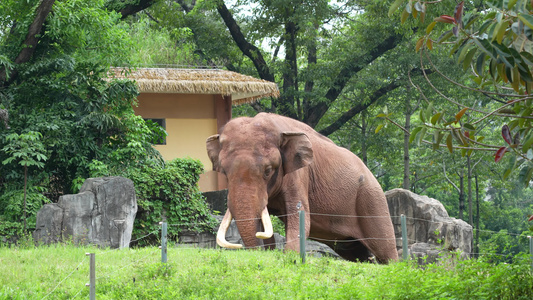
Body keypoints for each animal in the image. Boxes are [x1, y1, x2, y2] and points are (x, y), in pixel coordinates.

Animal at [206, 112, 396, 262]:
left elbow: (298, 214)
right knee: (357, 253)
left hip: (372, 200)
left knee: (386, 250)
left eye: (268, 170)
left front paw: (291, 257)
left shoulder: (299, 175)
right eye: (224, 172)